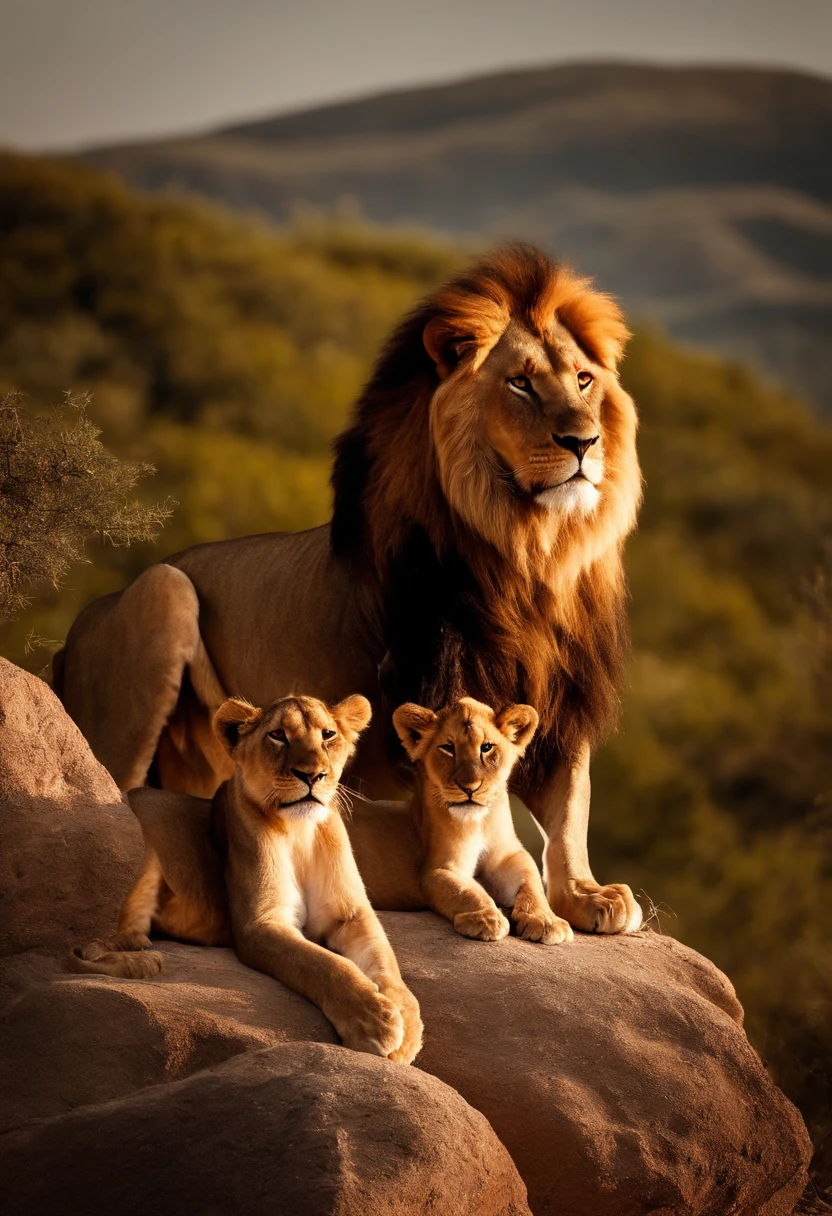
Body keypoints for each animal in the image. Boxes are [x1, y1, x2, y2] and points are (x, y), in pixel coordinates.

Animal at [71, 695, 423, 1065]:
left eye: (328, 734)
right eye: (278, 735)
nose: (312, 775)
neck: (300, 831)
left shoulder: (351, 915)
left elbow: (386, 962)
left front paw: (407, 1024)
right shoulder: (259, 925)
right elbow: (323, 964)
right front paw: (373, 1021)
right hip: (149, 821)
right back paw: (139, 953)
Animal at [345, 695, 571, 948]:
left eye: (486, 747)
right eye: (448, 748)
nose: (469, 787)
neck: (480, 823)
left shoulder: (509, 857)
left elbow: (532, 884)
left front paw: (546, 920)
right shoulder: (438, 869)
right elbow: (467, 891)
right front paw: (486, 919)